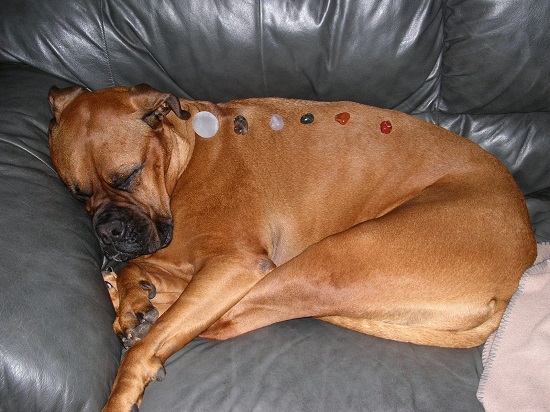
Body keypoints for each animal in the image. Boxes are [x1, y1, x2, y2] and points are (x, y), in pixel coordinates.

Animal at [48, 84, 540, 412]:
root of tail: (523, 259)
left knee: (223, 322)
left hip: (331, 259)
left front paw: (126, 376)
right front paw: (134, 297)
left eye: (128, 176)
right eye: (78, 193)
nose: (109, 230)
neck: (183, 164)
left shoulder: (235, 265)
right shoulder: (191, 262)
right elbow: (144, 269)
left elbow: (152, 340)